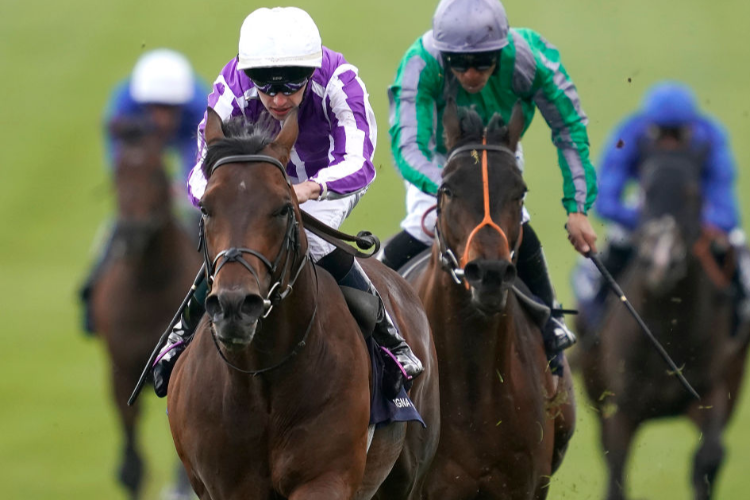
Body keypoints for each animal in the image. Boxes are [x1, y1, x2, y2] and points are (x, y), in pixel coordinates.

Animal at [90, 119, 201, 498]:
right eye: (118, 174)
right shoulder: (121, 369)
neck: (149, 282)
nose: (132, 231)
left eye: (156, 172)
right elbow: (132, 469)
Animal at [580, 143, 748, 498]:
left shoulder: (712, 391)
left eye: (693, 192)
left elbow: (709, 457)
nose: (662, 261)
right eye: (645, 190)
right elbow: (616, 474)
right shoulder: (620, 409)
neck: (668, 328)